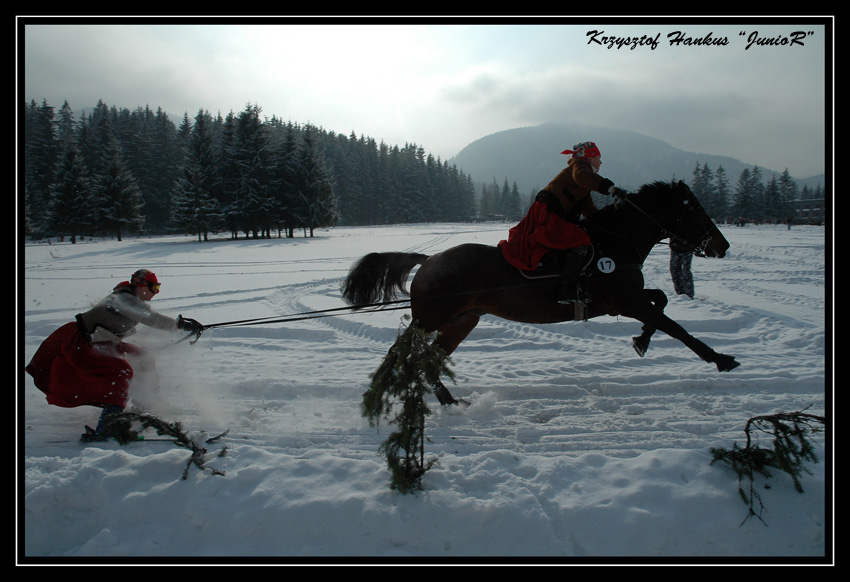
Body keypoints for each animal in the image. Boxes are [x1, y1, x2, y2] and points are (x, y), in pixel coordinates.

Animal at [342, 182, 740, 406]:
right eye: (698, 210)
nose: (722, 245)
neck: (615, 241)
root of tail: (429, 260)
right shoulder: (626, 301)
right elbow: (676, 327)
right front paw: (719, 358)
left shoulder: (626, 299)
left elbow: (663, 302)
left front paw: (641, 340)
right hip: (431, 317)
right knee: (402, 351)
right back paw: (385, 389)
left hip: (461, 321)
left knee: (429, 357)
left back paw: (446, 399)